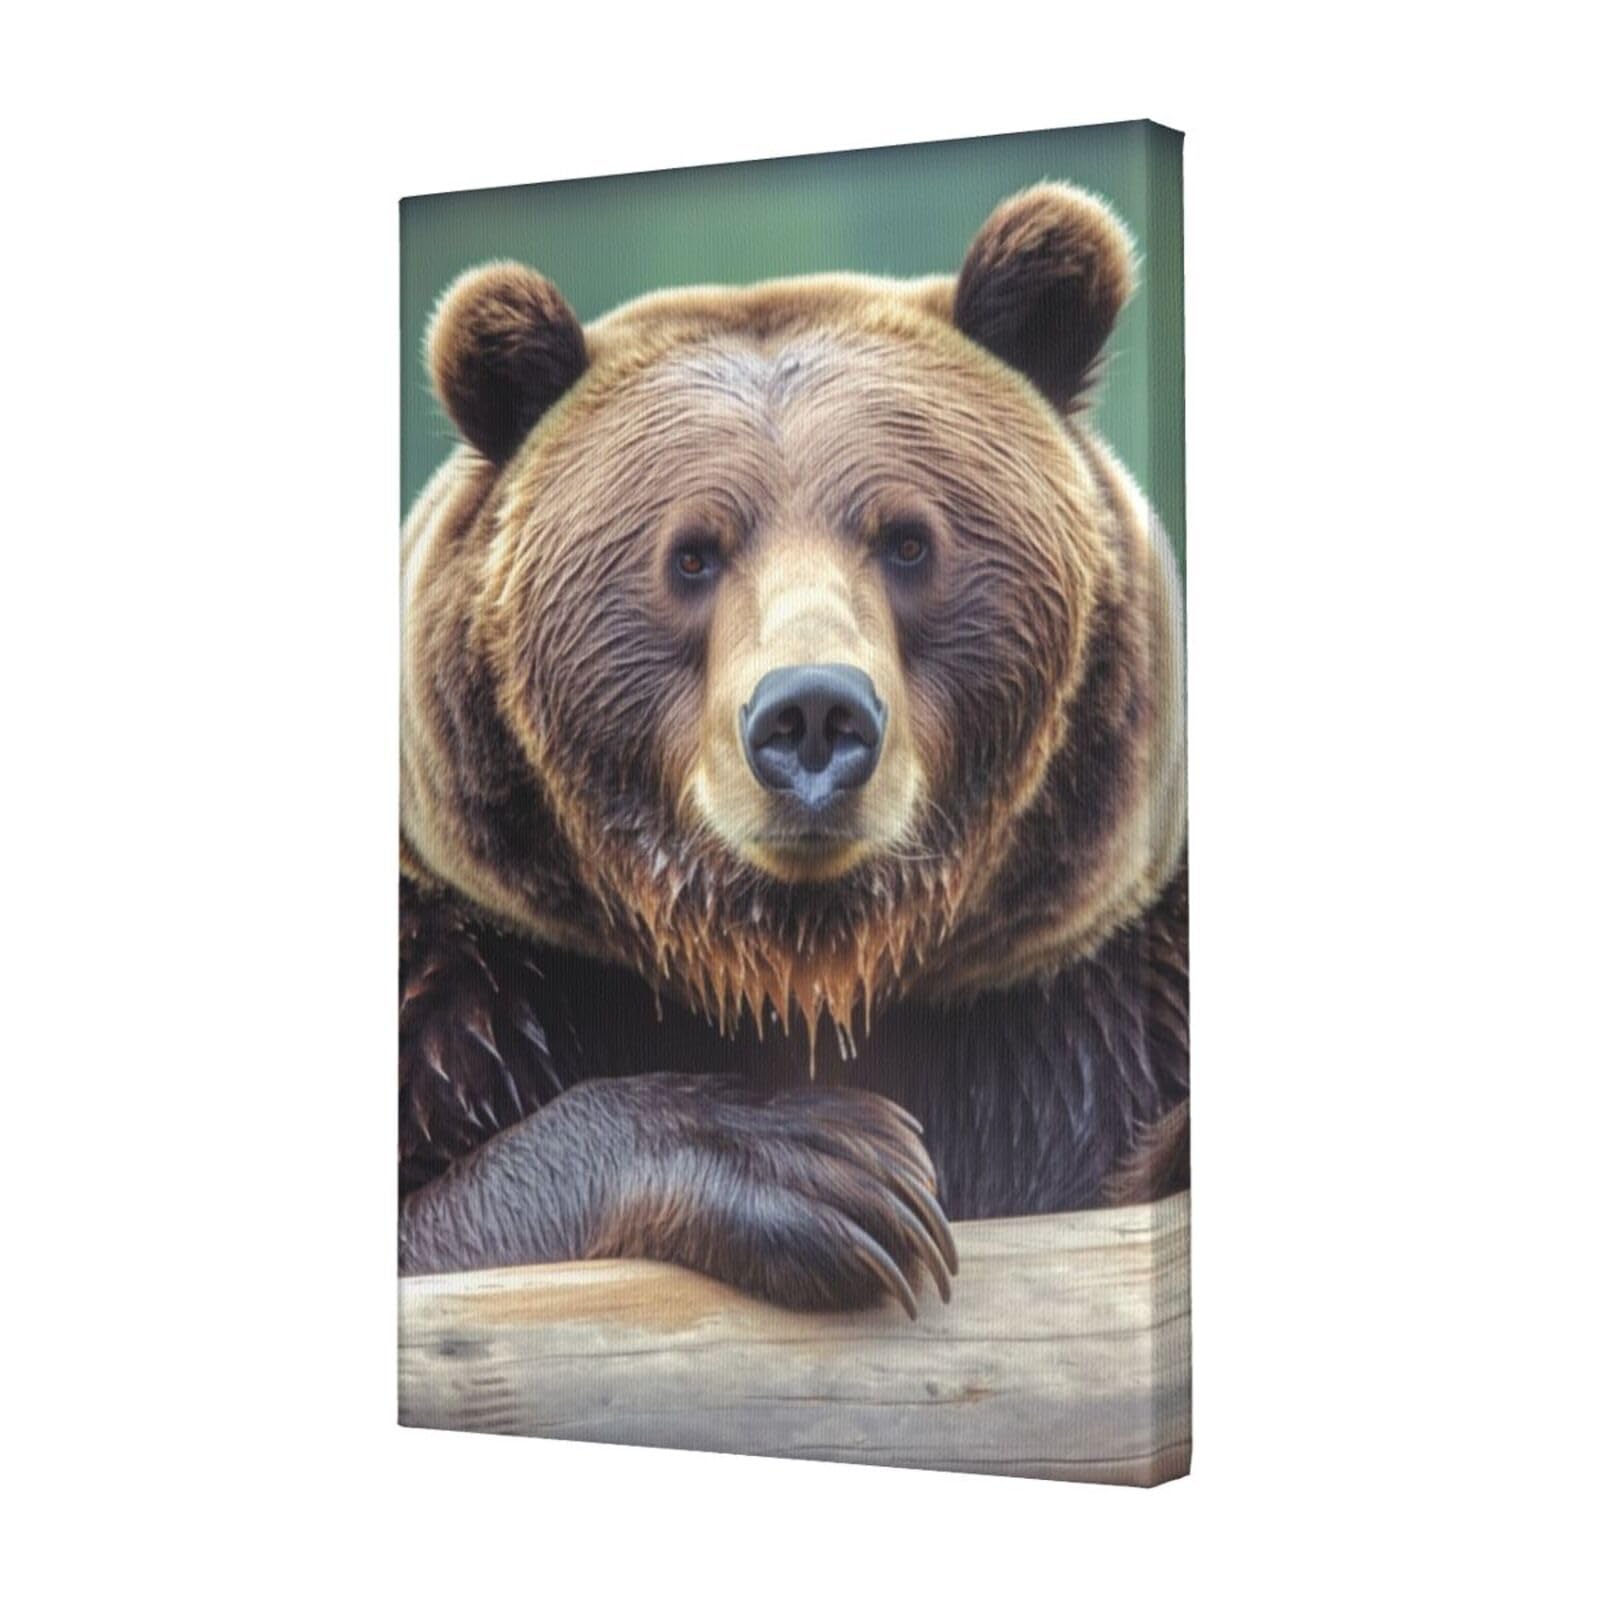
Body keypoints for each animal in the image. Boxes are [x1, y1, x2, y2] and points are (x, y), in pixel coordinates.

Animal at [399, 182, 1187, 1318]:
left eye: (908, 539)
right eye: (691, 554)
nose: (813, 715)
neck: (805, 972)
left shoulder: (1091, 1008)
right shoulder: (468, 988)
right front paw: (831, 1164)